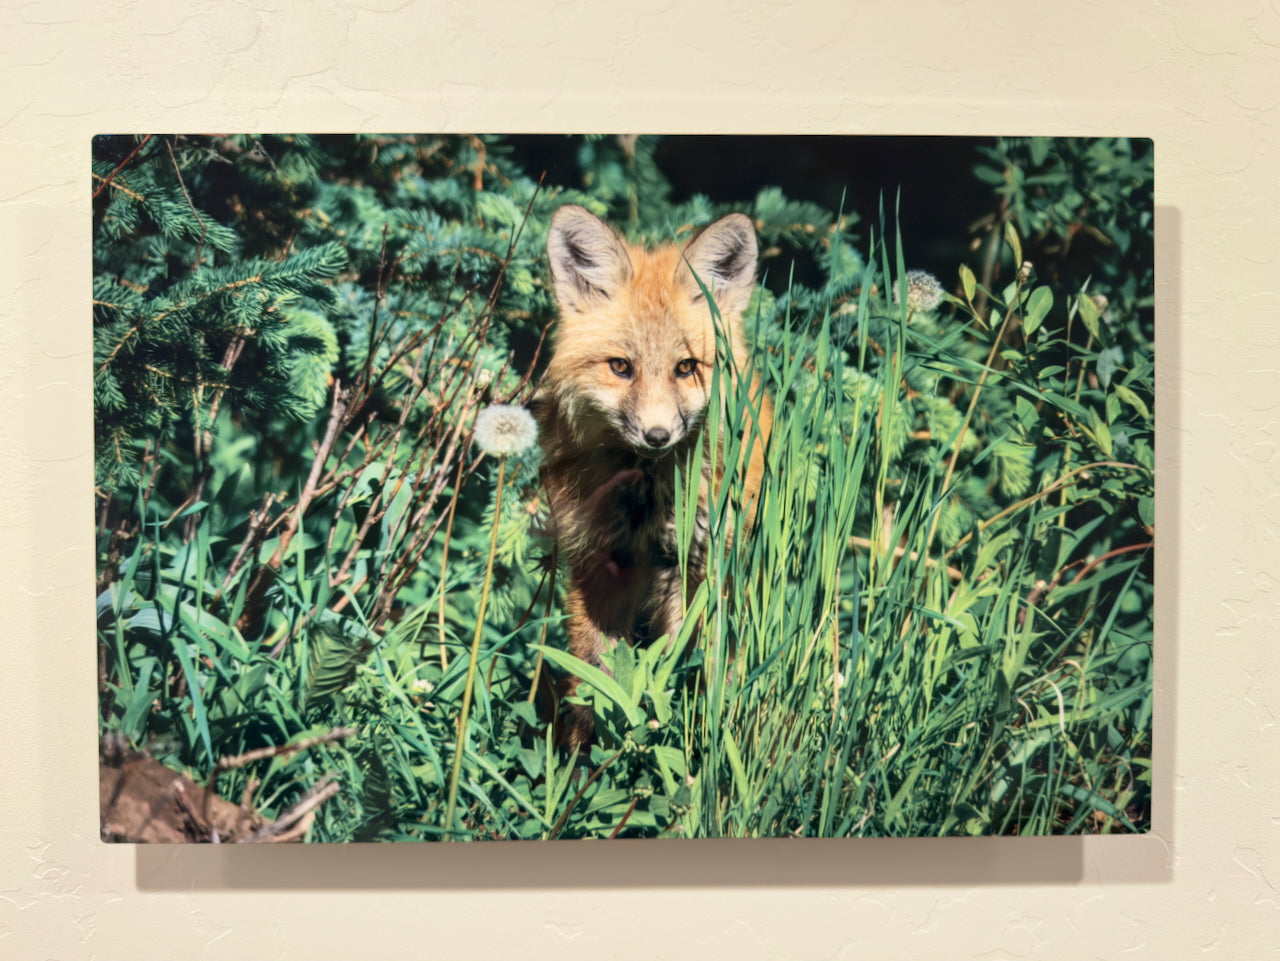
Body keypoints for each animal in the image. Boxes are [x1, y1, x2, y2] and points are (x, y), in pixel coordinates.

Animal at [533, 204, 773, 750]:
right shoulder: (597, 564)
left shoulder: (700, 568)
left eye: (686, 368)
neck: (646, 502)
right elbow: (594, 680)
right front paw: (580, 762)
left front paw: (707, 746)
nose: (658, 435)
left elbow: (704, 669)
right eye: (621, 367)